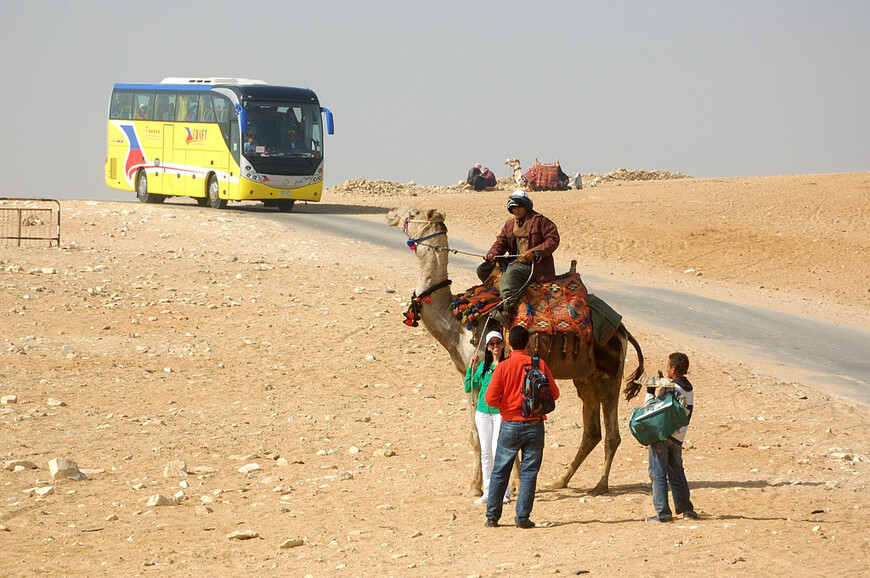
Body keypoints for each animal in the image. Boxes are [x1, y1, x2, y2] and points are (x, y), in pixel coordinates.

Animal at [388, 205, 648, 492]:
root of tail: (622, 329)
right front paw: (489, 484)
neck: (459, 322)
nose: (391, 213)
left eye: (414, 213)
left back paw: (600, 486)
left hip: (611, 373)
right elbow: (478, 433)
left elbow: (493, 433)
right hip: (586, 377)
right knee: (592, 431)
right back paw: (560, 481)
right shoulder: (470, 375)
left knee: (612, 432)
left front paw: (498, 485)